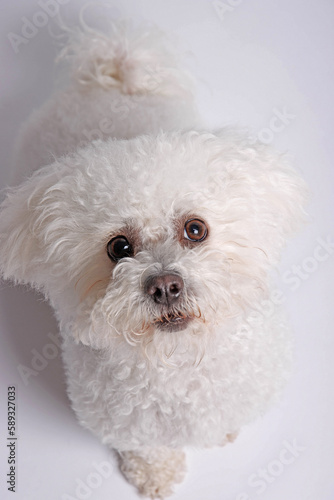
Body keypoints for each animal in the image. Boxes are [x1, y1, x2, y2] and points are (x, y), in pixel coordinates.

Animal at [0, 22, 308, 496]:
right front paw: (155, 474)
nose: (164, 285)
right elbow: (146, 447)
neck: (178, 363)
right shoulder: (125, 422)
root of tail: (116, 78)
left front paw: (221, 433)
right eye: (119, 248)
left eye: (195, 229)